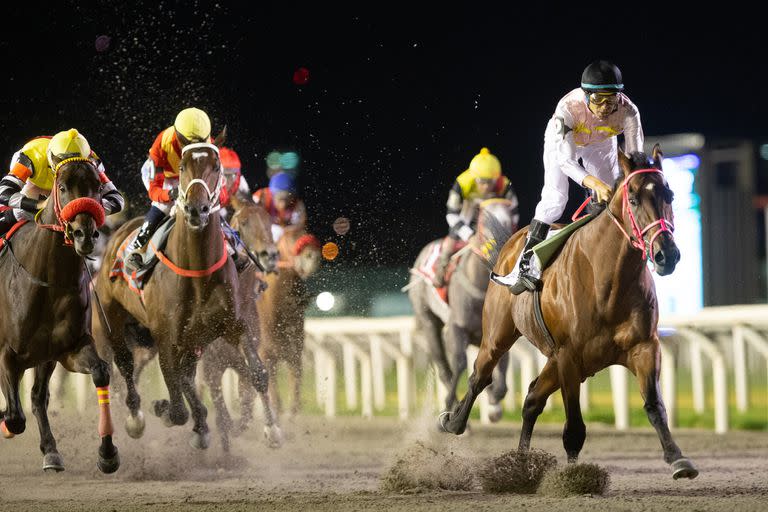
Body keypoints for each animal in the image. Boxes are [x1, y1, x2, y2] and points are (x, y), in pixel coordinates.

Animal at [0, 158, 119, 474]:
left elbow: (101, 372)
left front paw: (107, 453)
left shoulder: (68, 349)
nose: (85, 235)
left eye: (97, 187)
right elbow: (15, 417)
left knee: (38, 397)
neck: (48, 280)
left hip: (45, 358)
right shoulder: (7, 352)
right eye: (63, 187)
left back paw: (51, 450)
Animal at [96, 138, 282, 450]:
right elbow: (179, 406)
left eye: (216, 166)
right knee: (126, 364)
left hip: (192, 339)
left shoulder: (233, 327)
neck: (198, 272)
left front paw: (271, 429)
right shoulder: (169, 339)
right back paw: (136, 417)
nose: (197, 209)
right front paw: (167, 410)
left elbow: (256, 374)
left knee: (183, 375)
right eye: (182, 166)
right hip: (114, 323)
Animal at [404, 198, 520, 418]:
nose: (502, 245)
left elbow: (501, 373)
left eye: (510, 219)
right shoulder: (457, 328)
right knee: (443, 367)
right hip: (428, 320)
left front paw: (494, 403)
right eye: (483, 222)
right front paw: (450, 405)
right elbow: (459, 363)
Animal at [438, 147, 696, 480]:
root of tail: (509, 245)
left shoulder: (644, 347)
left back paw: (520, 463)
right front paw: (574, 478)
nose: (667, 254)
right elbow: (574, 426)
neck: (607, 280)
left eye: (670, 195)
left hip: (555, 359)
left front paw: (678, 459)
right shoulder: (570, 356)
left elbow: (654, 405)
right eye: (634, 198)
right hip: (498, 335)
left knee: (532, 399)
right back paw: (454, 421)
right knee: (479, 377)